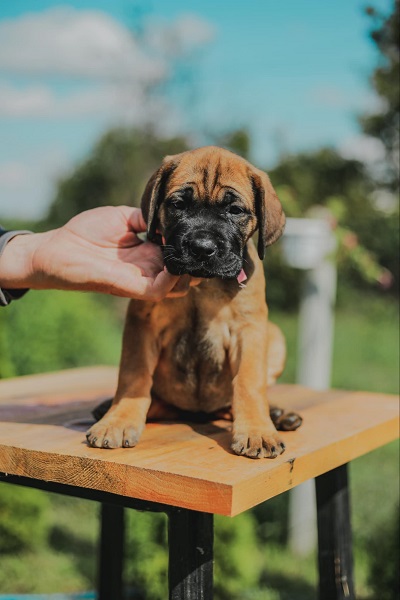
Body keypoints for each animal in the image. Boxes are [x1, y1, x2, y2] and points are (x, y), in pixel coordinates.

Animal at [87, 146, 300, 460]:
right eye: (178, 205)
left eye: (235, 211)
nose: (202, 248)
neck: (201, 284)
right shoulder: (142, 324)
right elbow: (134, 377)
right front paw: (118, 420)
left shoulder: (249, 329)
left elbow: (249, 382)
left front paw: (256, 430)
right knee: (156, 400)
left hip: (275, 336)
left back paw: (277, 414)